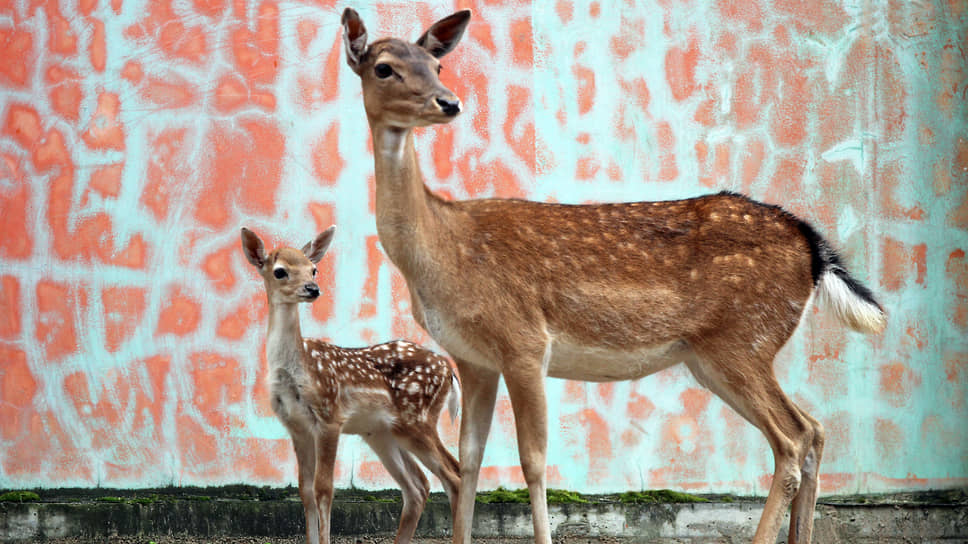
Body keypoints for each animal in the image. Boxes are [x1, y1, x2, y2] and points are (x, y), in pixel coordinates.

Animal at [238, 223, 458, 540]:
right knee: (418, 486)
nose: (313, 289)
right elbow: (305, 491)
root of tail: (449, 370)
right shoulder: (296, 427)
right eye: (280, 271)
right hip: (383, 432)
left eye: (313, 269)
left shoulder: (330, 417)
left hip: (418, 419)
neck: (297, 369)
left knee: (453, 474)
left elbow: (324, 489)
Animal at [340, 8, 884, 544]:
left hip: (743, 341)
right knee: (814, 429)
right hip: (717, 355)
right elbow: (471, 460)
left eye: (439, 66)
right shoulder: (473, 358)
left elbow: (532, 461)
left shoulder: (524, 341)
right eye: (384, 67)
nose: (449, 102)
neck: (442, 250)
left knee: (793, 439)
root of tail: (812, 246)